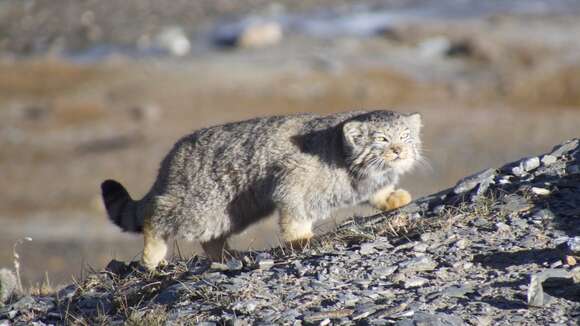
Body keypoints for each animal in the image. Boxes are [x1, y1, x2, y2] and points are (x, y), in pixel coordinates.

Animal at [102, 111, 422, 268]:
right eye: (381, 138)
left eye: (406, 135)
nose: (399, 150)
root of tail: (171, 159)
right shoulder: (292, 179)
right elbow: (294, 213)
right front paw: (300, 237)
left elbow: (379, 194)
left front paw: (392, 197)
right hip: (199, 206)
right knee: (156, 214)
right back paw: (151, 255)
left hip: (230, 213)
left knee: (211, 239)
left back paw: (225, 256)